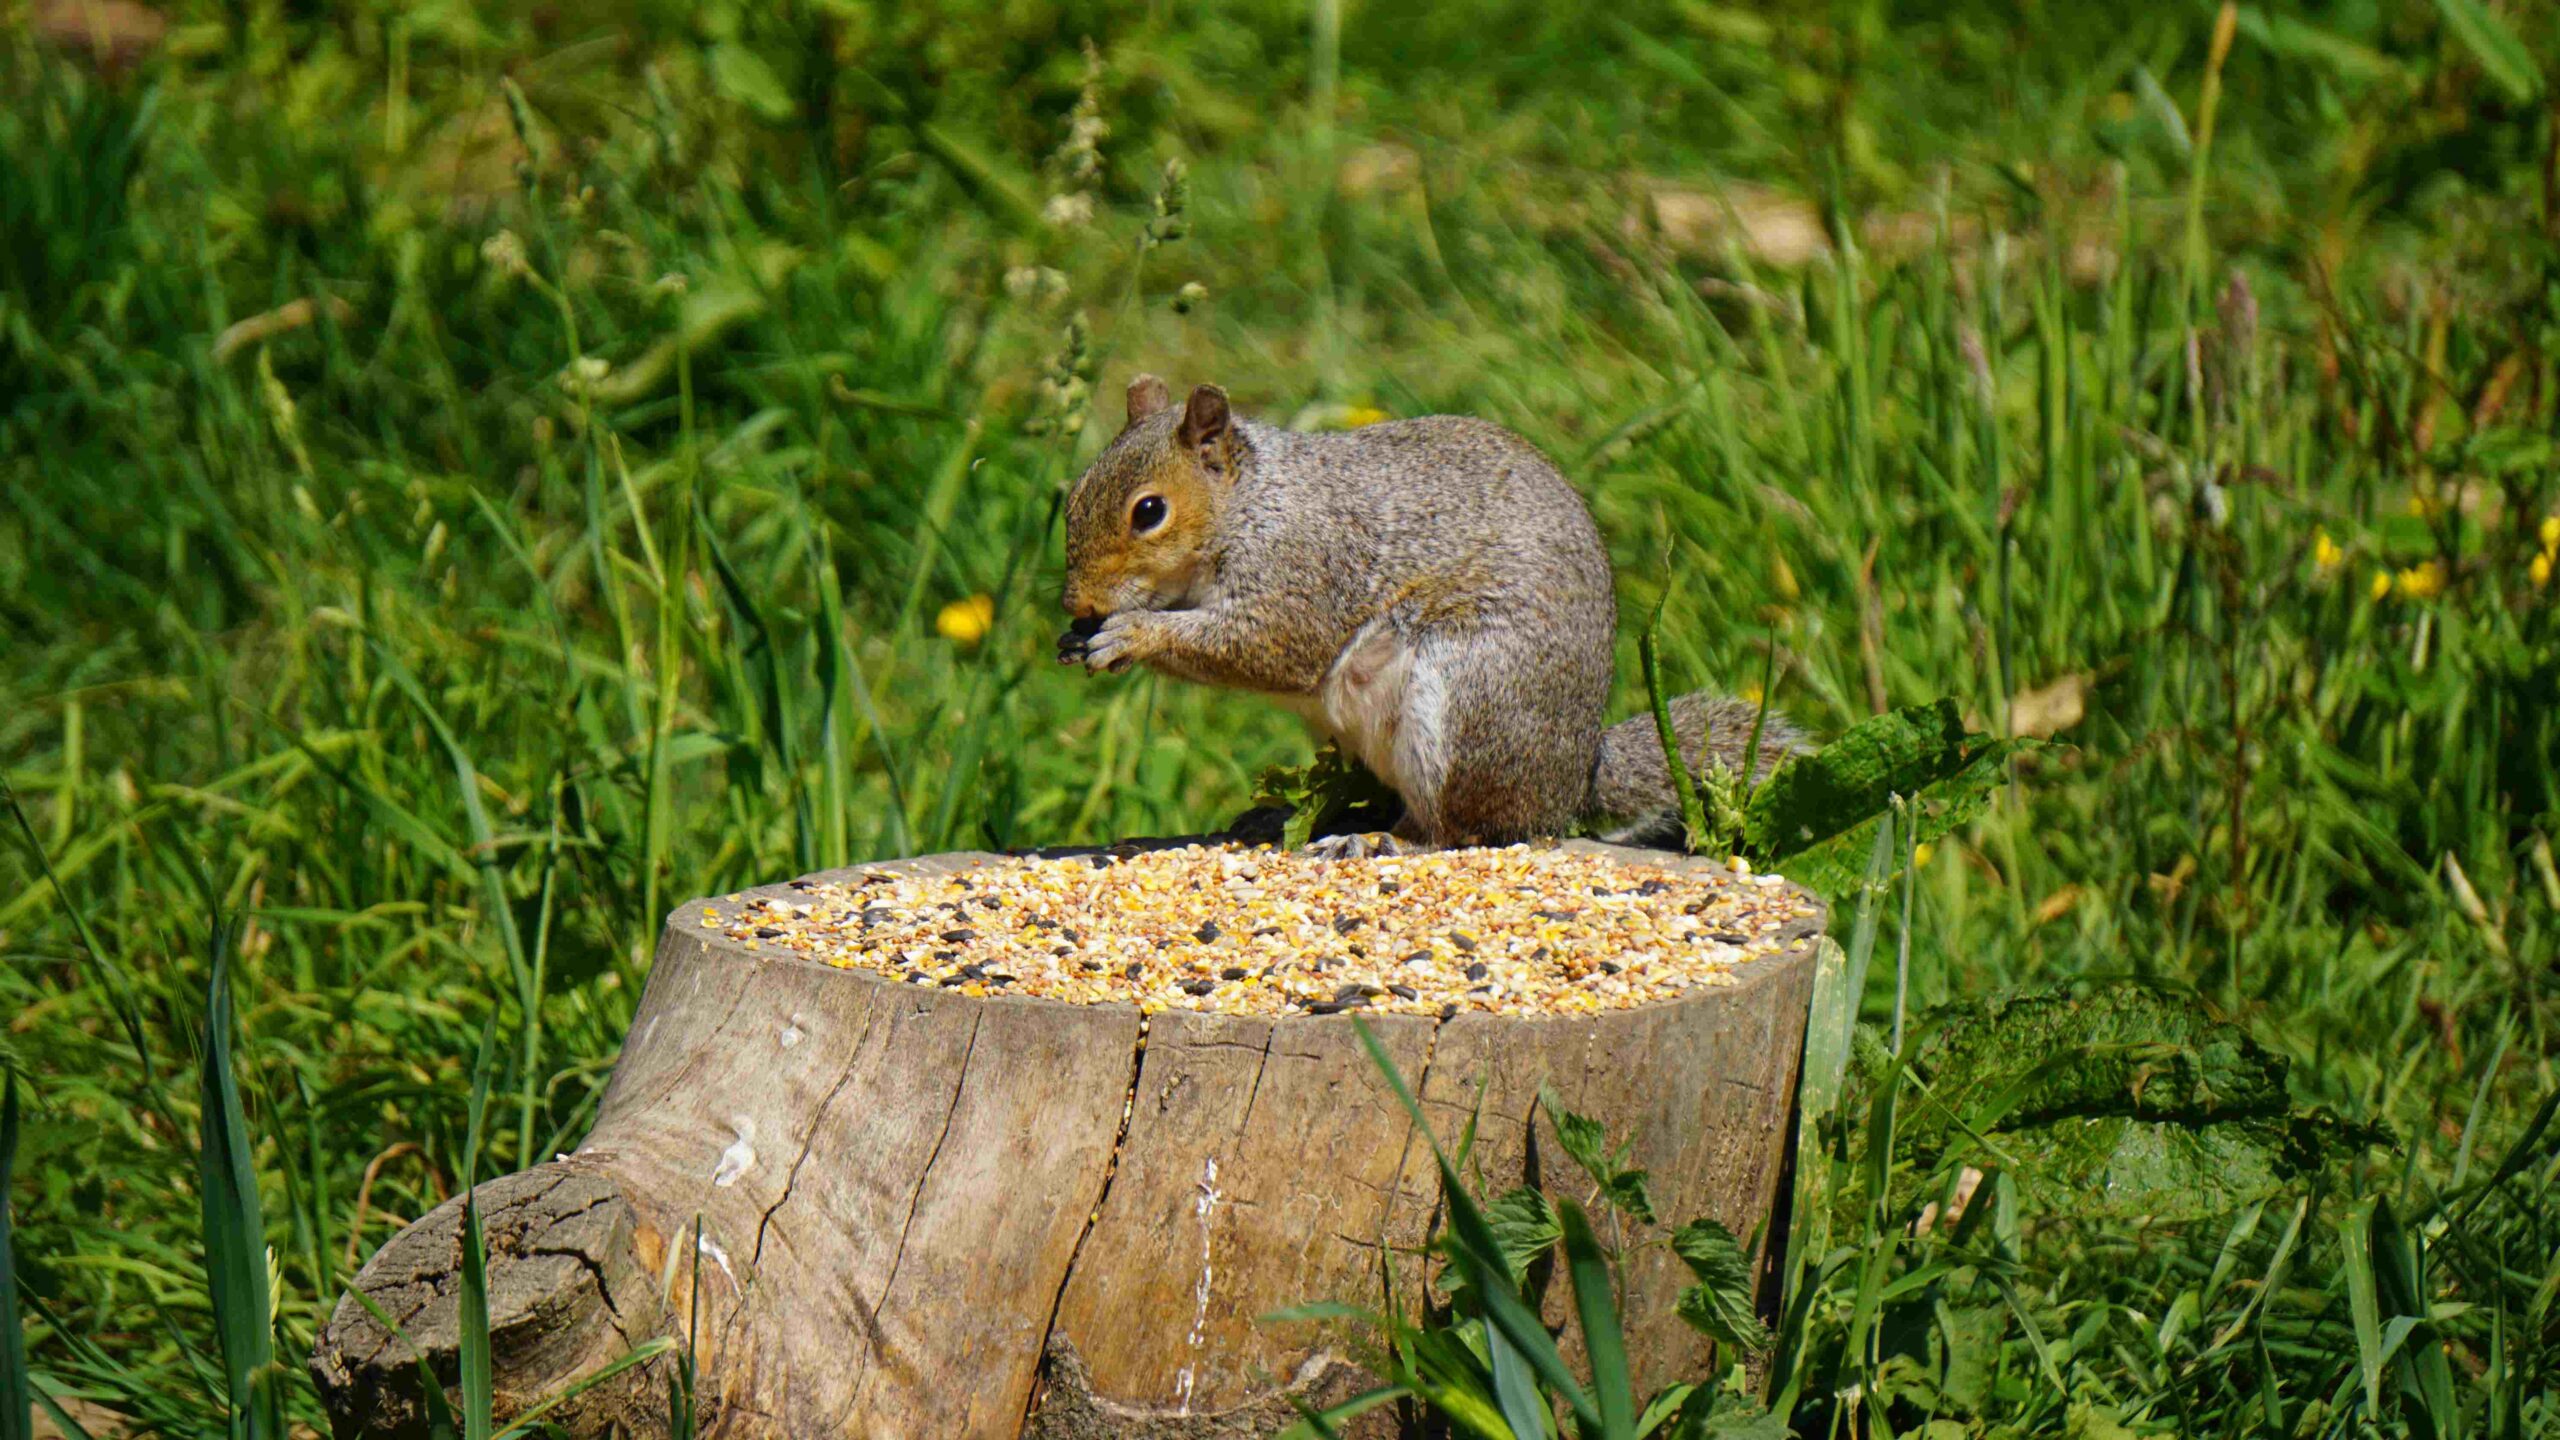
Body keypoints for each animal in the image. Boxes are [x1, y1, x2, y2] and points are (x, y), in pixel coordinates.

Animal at [1059, 371, 1802, 850]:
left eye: (1149, 511)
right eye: (1074, 494)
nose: (1078, 601)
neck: (1252, 504)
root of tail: (1570, 780)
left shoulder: (1305, 568)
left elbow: (1271, 648)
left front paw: (1132, 635)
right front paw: (1078, 638)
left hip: (1464, 697)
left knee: (1458, 829)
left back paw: (1383, 841)